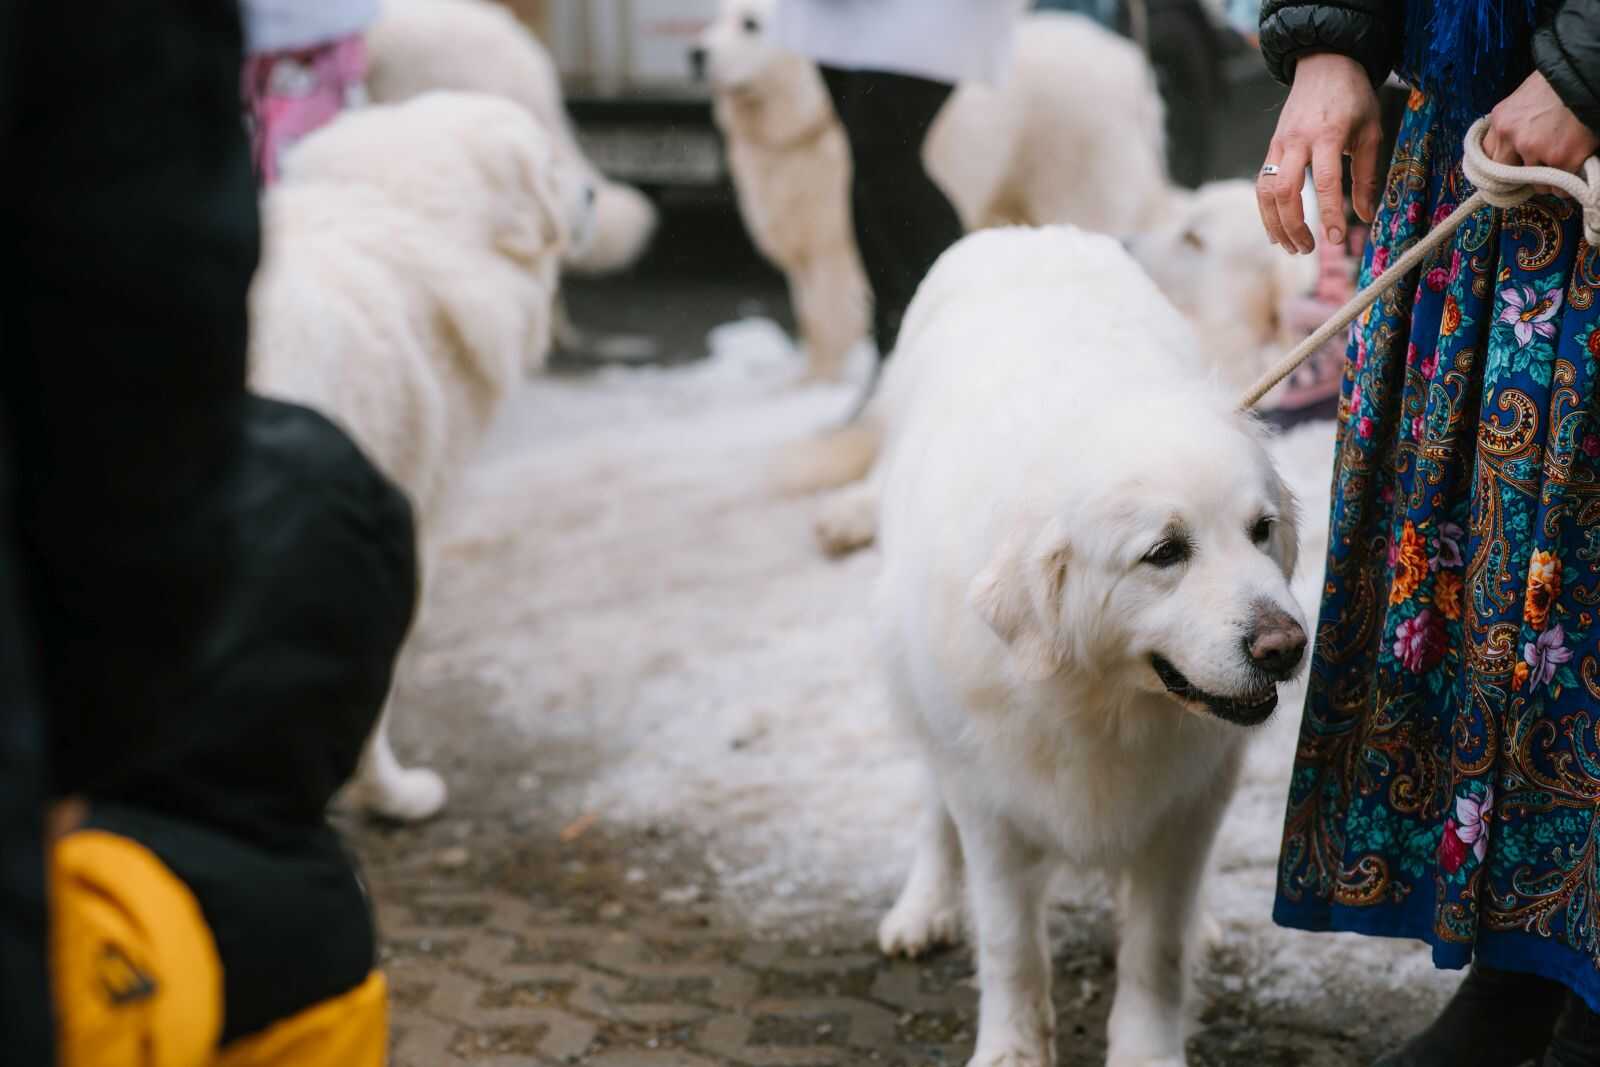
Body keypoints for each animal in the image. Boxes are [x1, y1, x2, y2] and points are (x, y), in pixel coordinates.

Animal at [696, 0, 1170, 381]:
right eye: (716, 19)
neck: (810, 127)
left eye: (751, 24)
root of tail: (1130, 66)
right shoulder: (802, 244)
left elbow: (828, 324)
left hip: (1076, 191)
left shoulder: (832, 249)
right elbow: (811, 321)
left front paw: (818, 386)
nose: (696, 54)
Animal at [871, 225, 1307, 1067]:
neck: (1097, 696)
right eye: (1165, 552)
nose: (1286, 645)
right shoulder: (990, 796)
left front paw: (1147, 1048)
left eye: (1261, 530)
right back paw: (924, 906)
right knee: (934, 803)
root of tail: (1020, 231)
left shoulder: (1194, 798)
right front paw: (1010, 1048)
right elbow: (1010, 942)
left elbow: (1156, 946)